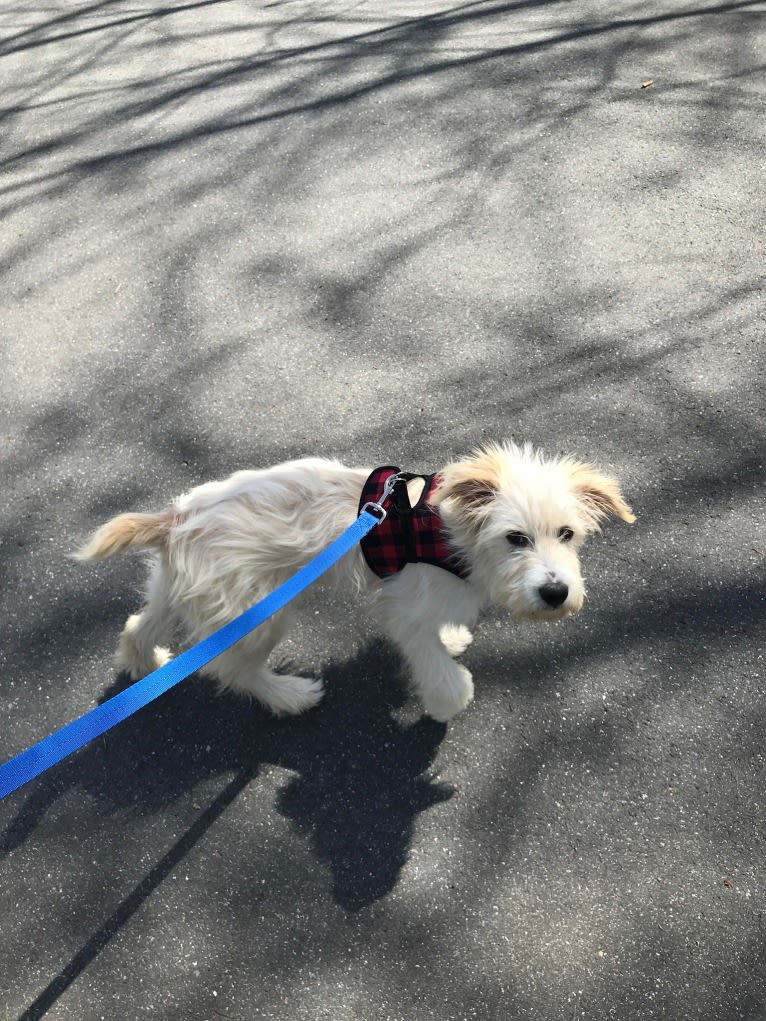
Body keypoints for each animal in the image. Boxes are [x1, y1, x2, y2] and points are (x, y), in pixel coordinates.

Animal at [76, 443, 637, 722]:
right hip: (258, 613)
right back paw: (289, 696)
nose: (556, 593)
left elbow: (441, 632)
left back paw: (145, 665)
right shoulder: (405, 609)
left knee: (138, 625)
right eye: (515, 538)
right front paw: (448, 699)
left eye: (567, 534)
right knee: (233, 670)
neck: (452, 533)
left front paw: (454, 636)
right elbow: (431, 660)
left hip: (184, 590)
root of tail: (176, 519)